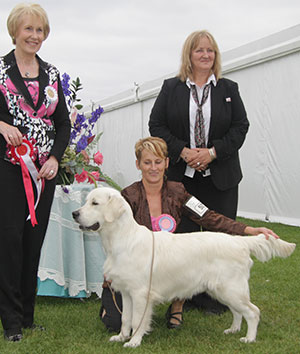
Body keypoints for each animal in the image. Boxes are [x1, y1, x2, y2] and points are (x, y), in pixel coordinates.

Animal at [72, 187, 296, 348]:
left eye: (95, 203)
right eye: (86, 201)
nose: (74, 213)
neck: (121, 239)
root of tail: (239, 241)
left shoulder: (140, 293)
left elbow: (138, 320)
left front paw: (134, 342)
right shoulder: (126, 292)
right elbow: (125, 318)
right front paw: (121, 337)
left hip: (231, 289)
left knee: (253, 311)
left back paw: (249, 339)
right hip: (222, 290)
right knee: (238, 312)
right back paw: (232, 330)